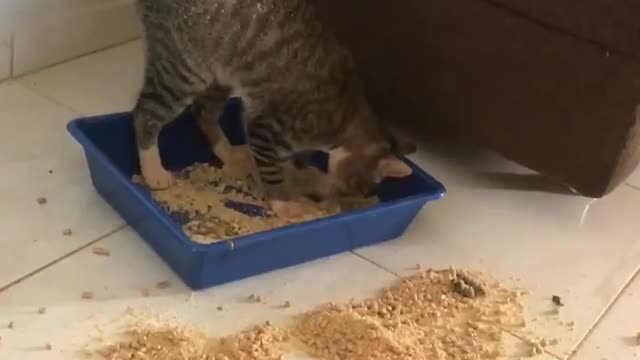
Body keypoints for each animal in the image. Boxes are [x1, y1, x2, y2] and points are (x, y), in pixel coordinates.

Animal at [134, 0, 416, 218]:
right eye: (362, 188)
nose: (351, 194)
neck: (347, 117)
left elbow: (294, 165)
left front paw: (306, 179)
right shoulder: (266, 128)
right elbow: (272, 171)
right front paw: (283, 202)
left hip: (220, 73)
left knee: (203, 111)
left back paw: (228, 152)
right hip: (186, 69)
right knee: (145, 113)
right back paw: (153, 170)